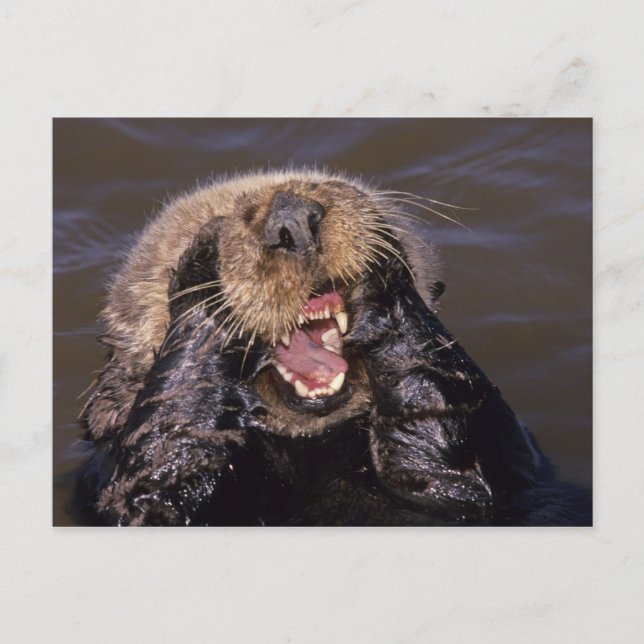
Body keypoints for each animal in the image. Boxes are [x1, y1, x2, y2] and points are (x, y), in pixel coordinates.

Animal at [77, 169, 590, 526]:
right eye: (227, 216)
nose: (291, 216)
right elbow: (158, 485)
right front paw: (202, 269)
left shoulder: (501, 464)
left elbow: (454, 455)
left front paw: (384, 280)